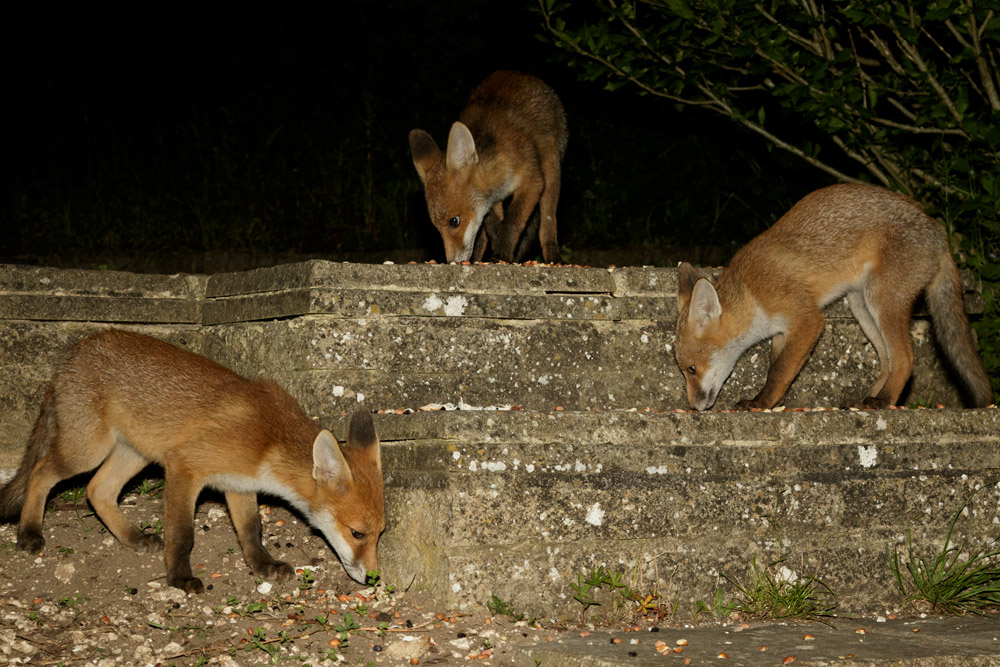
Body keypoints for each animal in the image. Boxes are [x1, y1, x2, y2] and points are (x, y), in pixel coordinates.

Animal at [0, 329, 385, 593]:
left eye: (380, 534)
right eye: (357, 533)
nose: (374, 577)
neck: (269, 440)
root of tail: (70, 354)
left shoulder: (238, 484)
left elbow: (251, 532)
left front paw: (263, 566)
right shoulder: (184, 467)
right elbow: (183, 535)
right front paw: (180, 578)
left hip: (134, 454)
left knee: (97, 491)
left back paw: (132, 538)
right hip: (86, 450)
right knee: (40, 473)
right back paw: (29, 532)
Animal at [409, 70, 568, 264]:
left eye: (454, 221)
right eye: (437, 227)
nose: (452, 261)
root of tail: (519, 74)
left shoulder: (532, 181)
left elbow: (512, 222)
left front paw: (502, 254)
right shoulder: (491, 201)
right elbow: (493, 226)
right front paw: (499, 252)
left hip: (551, 169)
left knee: (547, 221)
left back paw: (553, 257)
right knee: (483, 237)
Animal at [675, 183, 994, 412]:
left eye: (691, 369)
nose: (693, 407)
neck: (752, 293)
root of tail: (938, 231)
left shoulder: (806, 319)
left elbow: (778, 371)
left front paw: (761, 403)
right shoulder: (782, 330)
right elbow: (777, 367)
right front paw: (773, 401)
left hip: (882, 300)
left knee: (905, 359)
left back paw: (884, 401)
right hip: (861, 306)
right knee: (887, 361)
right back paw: (865, 401)